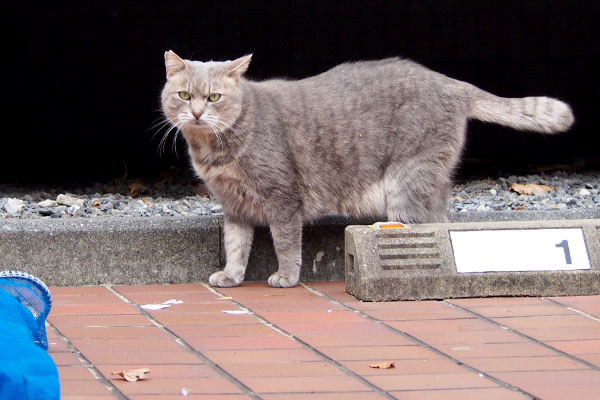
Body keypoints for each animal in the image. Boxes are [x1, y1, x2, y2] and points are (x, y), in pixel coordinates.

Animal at [162, 50, 576, 288]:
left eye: (214, 97)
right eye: (184, 95)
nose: (196, 113)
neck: (214, 150)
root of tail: (447, 80)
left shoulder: (283, 199)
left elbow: (286, 244)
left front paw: (287, 276)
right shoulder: (234, 207)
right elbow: (235, 246)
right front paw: (231, 276)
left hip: (406, 182)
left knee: (417, 230)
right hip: (429, 183)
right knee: (439, 221)